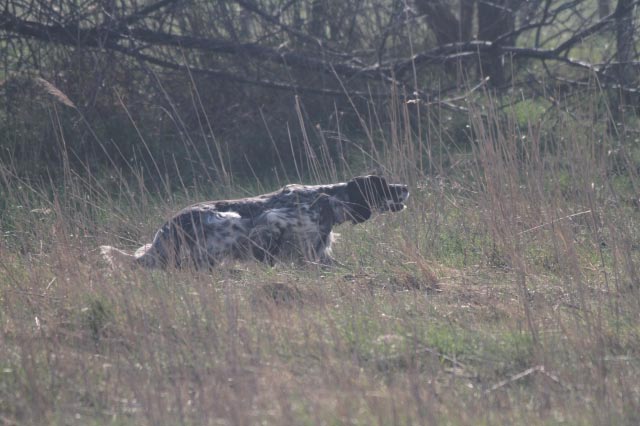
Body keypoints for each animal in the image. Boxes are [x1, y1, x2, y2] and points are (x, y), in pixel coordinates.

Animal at [100, 174, 410, 268]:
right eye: (384, 185)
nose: (406, 186)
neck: (329, 201)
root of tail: (166, 228)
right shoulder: (272, 220)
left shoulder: (319, 253)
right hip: (228, 220)